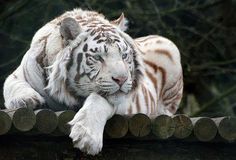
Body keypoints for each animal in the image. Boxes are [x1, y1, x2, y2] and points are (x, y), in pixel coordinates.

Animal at [3, 8, 183, 155]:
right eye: (98, 57)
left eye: (124, 55)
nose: (122, 79)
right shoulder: (18, 74)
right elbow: (14, 85)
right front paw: (27, 99)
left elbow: (98, 101)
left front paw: (87, 137)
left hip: (169, 47)